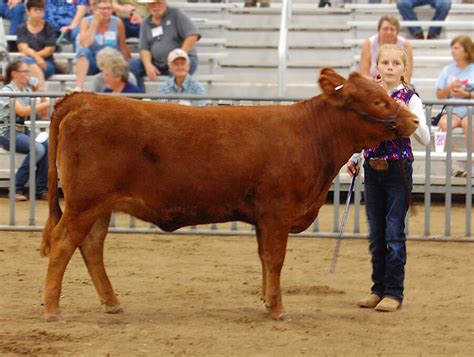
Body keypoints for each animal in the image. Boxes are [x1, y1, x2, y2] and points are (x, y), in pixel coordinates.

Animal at [41, 67, 418, 320]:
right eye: (376, 100)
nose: (414, 121)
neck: (311, 136)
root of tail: (82, 99)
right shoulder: (277, 212)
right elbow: (275, 259)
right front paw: (278, 307)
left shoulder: (263, 218)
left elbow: (265, 259)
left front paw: (267, 301)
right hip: (84, 203)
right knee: (63, 242)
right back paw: (52, 309)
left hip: (99, 206)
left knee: (91, 247)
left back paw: (112, 302)